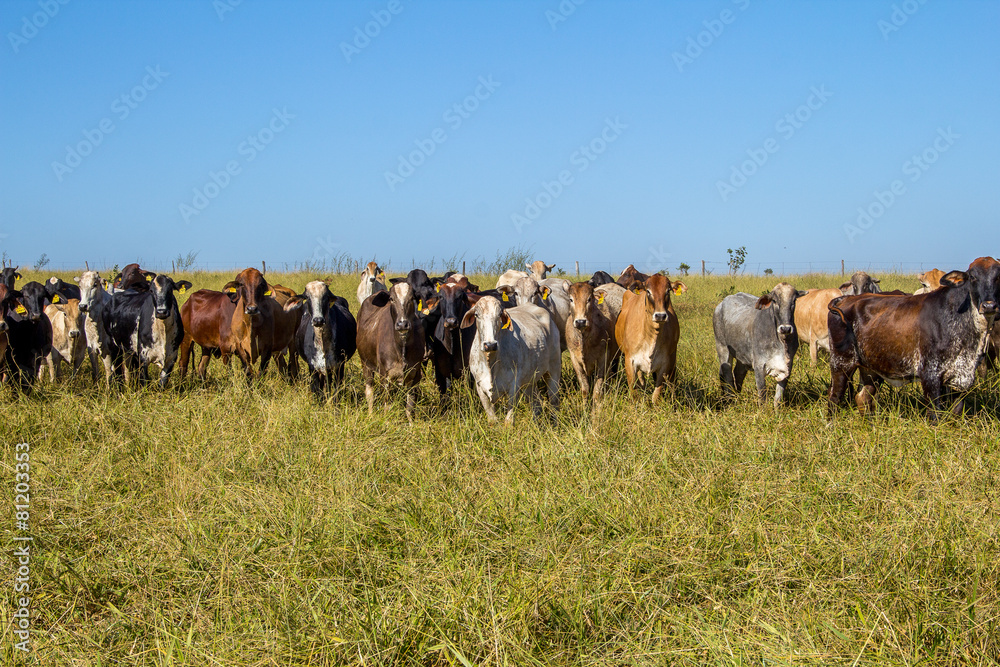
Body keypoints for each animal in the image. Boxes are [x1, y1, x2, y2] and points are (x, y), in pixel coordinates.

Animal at [356, 282, 433, 422]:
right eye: (391, 299)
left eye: (411, 298)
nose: (402, 324)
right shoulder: (385, 376)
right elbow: (387, 405)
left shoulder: (415, 375)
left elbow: (410, 407)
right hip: (365, 364)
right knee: (369, 392)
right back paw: (370, 415)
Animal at [615, 274, 687, 404]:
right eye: (648, 291)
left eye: (668, 291)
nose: (660, 315)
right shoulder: (629, 361)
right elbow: (634, 392)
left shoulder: (664, 364)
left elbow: (656, 395)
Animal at [827, 257, 1000, 421]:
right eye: (973, 277)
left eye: (998, 276)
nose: (989, 306)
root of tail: (846, 299)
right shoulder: (930, 374)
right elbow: (934, 414)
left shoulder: (960, 378)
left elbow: (956, 412)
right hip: (841, 363)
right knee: (834, 397)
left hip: (870, 368)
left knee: (863, 397)